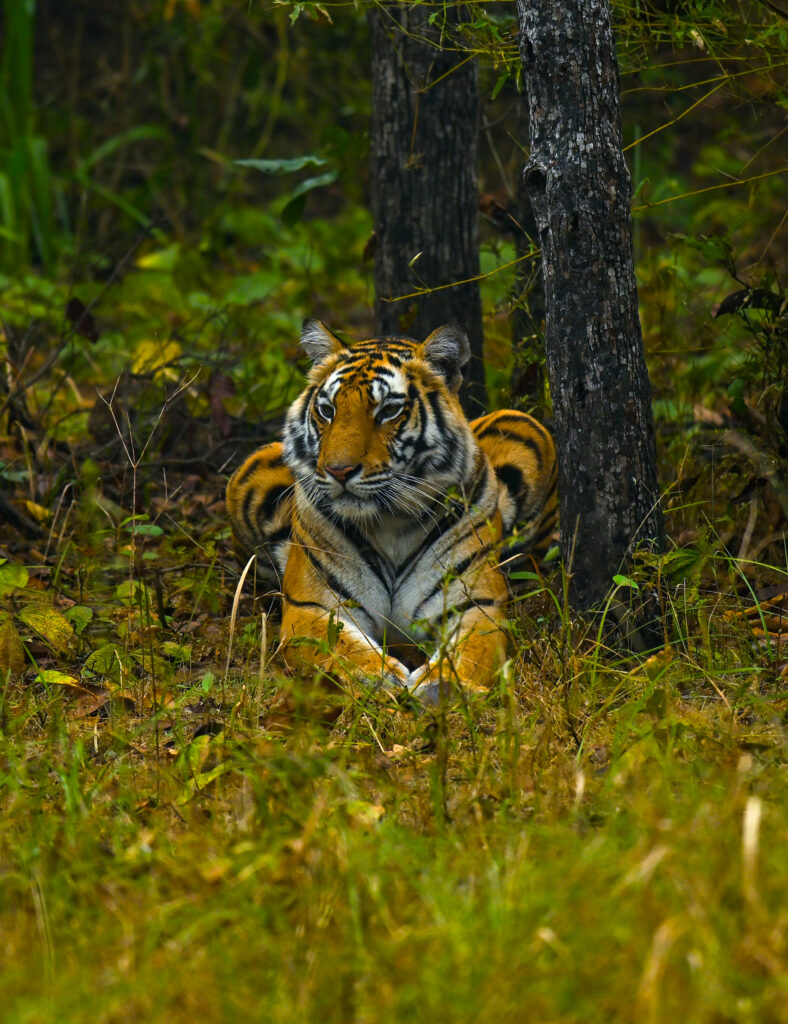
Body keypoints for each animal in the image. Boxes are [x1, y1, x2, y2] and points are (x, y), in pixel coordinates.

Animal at [224, 319, 556, 704]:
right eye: (327, 410)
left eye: (387, 411)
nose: (338, 470)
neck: (392, 520)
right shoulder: (314, 608)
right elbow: (342, 650)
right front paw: (378, 680)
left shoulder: (476, 605)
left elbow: (468, 652)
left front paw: (441, 687)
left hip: (524, 428)